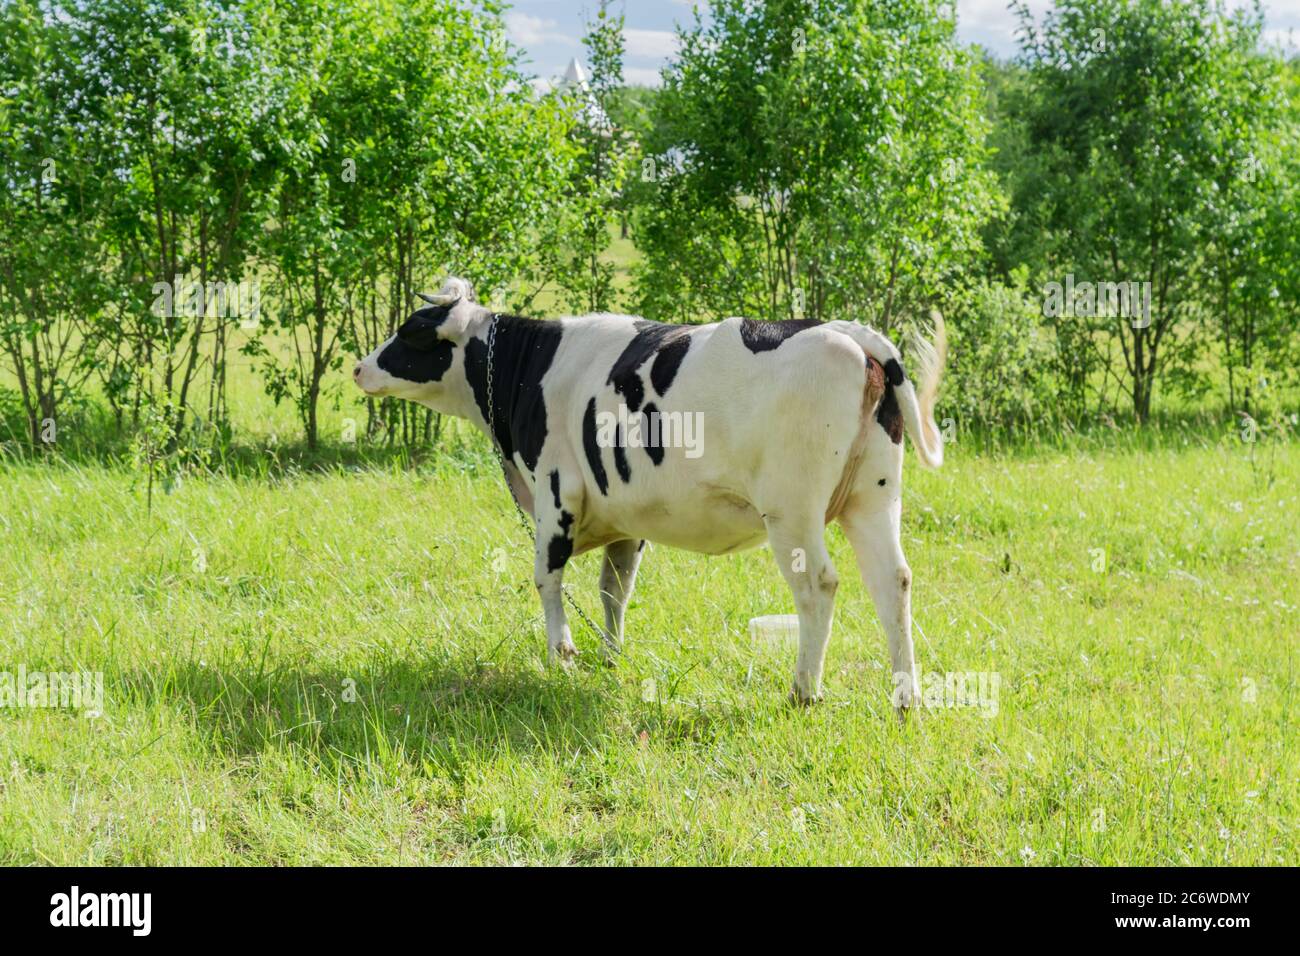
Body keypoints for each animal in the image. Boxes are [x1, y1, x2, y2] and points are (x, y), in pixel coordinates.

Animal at [354, 277, 946, 714]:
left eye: (410, 332)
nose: (359, 367)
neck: (533, 367)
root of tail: (850, 332)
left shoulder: (556, 492)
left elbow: (547, 578)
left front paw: (561, 654)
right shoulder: (625, 519)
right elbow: (614, 589)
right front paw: (611, 657)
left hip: (792, 509)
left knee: (819, 587)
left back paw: (804, 691)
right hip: (873, 499)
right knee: (893, 582)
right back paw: (906, 699)